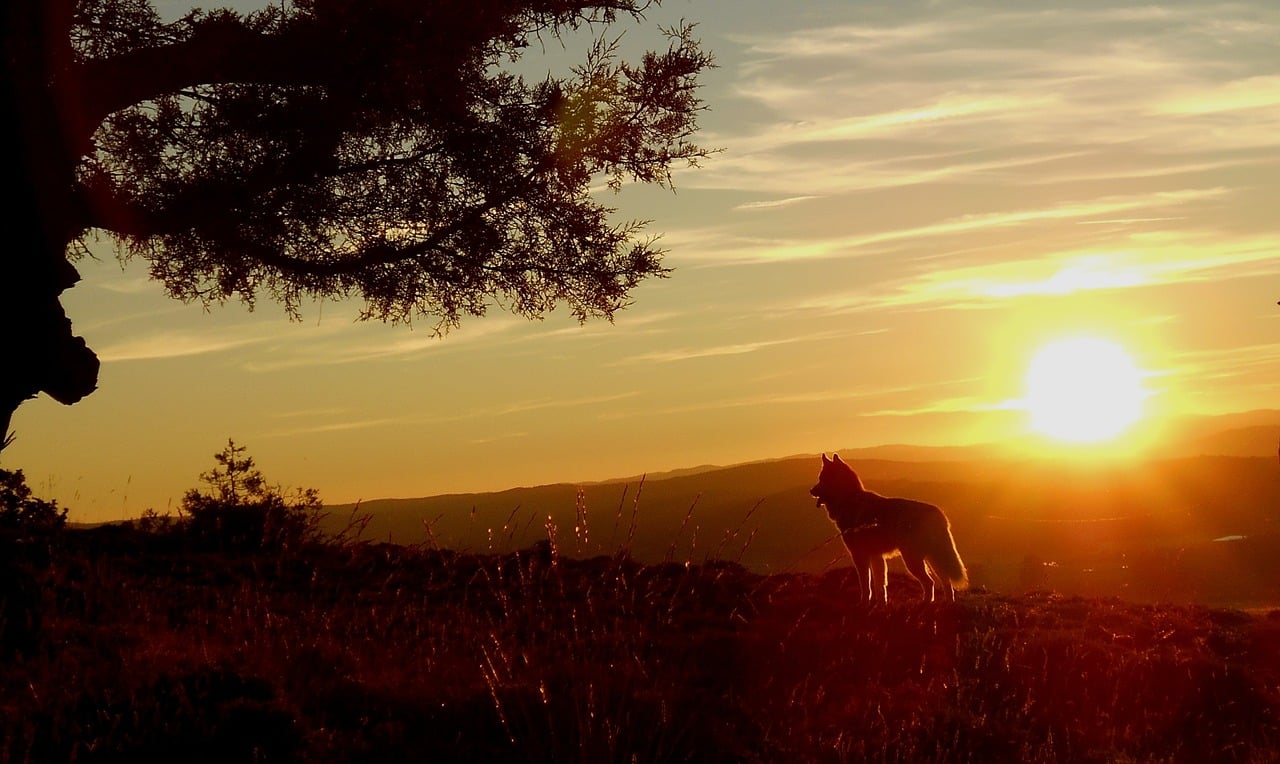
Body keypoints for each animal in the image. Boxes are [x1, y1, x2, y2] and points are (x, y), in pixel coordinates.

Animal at [808, 453, 967, 601]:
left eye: (822, 479)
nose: (811, 491)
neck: (849, 500)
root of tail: (939, 513)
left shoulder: (860, 556)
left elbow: (866, 587)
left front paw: (864, 605)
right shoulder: (876, 557)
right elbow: (880, 587)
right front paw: (880, 606)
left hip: (913, 560)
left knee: (930, 583)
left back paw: (925, 604)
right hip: (932, 560)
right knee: (946, 582)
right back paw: (947, 604)